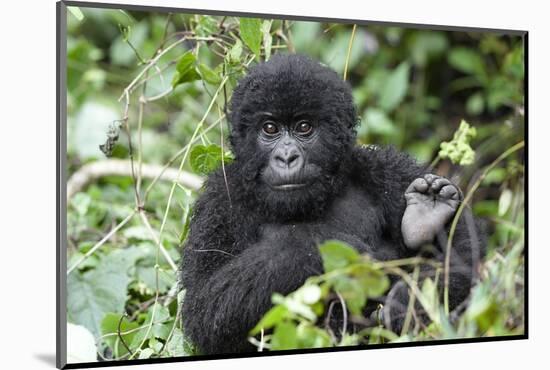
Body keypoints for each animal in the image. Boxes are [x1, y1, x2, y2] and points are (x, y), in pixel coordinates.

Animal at [182, 53, 488, 354]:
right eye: (270, 128)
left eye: (304, 127)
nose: (287, 157)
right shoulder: (219, 202)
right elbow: (206, 309)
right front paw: (325, 247)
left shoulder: (384, 167)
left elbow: (463, 252)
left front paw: (407, 300)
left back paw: (425, 218)